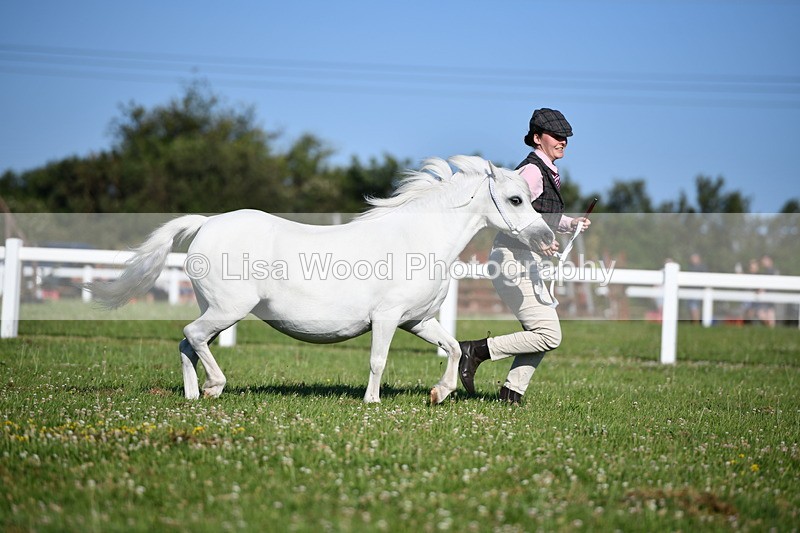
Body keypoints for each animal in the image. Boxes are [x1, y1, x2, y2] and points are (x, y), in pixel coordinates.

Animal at [88, 155, 554, 404]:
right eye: (516, 199)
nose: (547, 240)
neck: (416, 239)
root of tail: (207, 223)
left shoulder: (417, 320)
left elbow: (455, 348)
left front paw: (439, 393)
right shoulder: (387, 319)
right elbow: (378, 360)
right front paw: (372, 401)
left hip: (218, 311)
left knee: (188, 342)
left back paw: (193, 395)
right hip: (227, 310)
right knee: (192, 335)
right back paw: (215, 387)